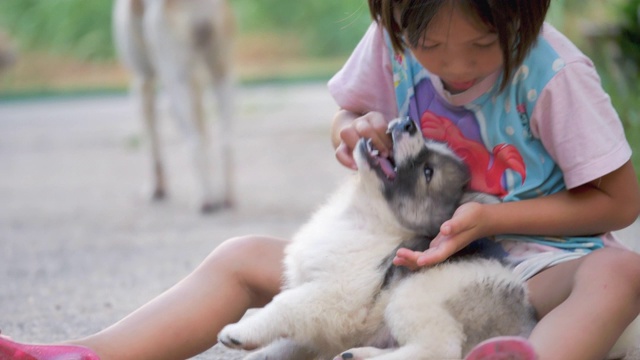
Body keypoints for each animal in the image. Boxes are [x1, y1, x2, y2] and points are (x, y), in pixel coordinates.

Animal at [112, 0, 235, 212]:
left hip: (176, 86)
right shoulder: (197, 84)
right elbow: (206, 134)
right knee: (226, 141)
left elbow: (152, 144)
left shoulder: (142, 82)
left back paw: (205, 200)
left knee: (194, 143)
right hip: (222, 76)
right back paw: (225, 197)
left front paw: (156, 189)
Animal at [218, 116, 536, 358]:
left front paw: (240, 332)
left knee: (436, 350)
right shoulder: (316, 325)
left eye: (428, 172)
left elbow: (283, 305)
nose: (407, 122)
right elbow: (284, 344)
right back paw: (355, 354)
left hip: (416, 293)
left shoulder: (333, 296)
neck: (365, 218)